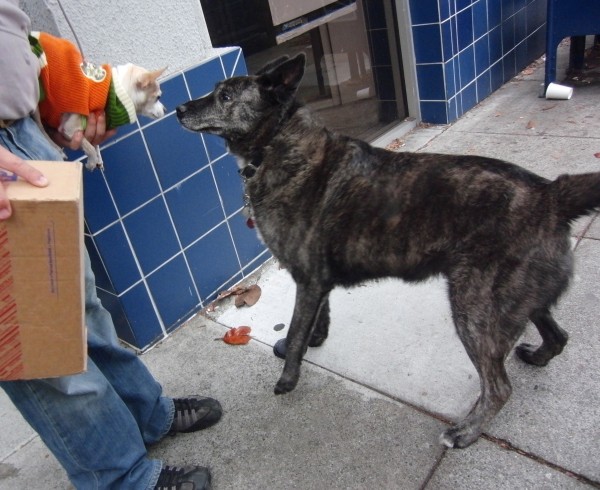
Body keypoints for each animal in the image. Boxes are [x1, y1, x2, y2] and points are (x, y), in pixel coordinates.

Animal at [31, 31, 164, 168]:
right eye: (158, 97)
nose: (165, 109)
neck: (114, 92)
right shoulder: (69, 128)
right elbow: (89, 147)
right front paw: (92, 161)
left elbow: (92, 144)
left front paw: (98, 157)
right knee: (39, 126)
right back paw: (56, 148)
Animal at [176, 53, 600, 448]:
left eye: (225, 96)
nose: (178, 109)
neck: (276, 141)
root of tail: (549, 194)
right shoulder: (317, 282)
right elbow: (318, 318)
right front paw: (316, 340)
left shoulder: (308, 279)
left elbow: (296, 330)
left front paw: (288, 378)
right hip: (520, 298)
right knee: (558, 337)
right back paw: (538, 357)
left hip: (475, 310)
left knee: (499, 387)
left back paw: (466, 432)